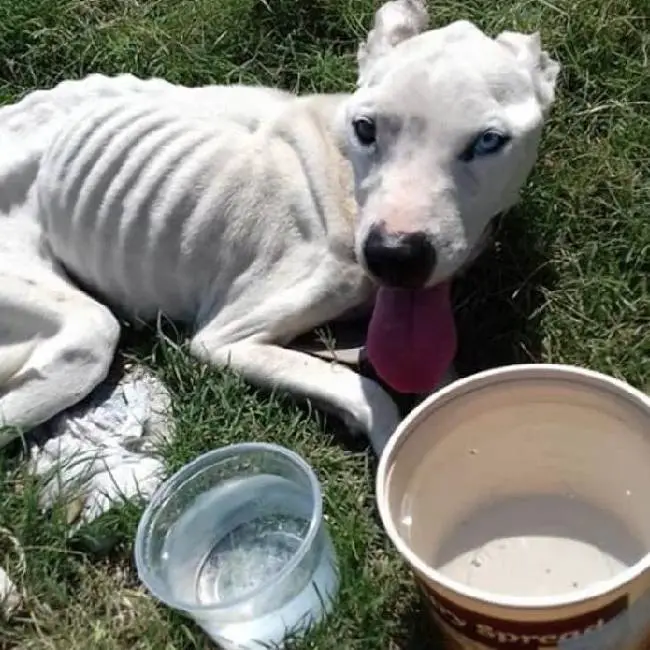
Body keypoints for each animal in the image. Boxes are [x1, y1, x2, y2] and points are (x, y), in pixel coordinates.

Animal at [0, 1, 556, 456]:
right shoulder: (225, 339)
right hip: (72, 323)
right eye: (365, 128)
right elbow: (370, 395)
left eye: (488, 141)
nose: (394, 256)